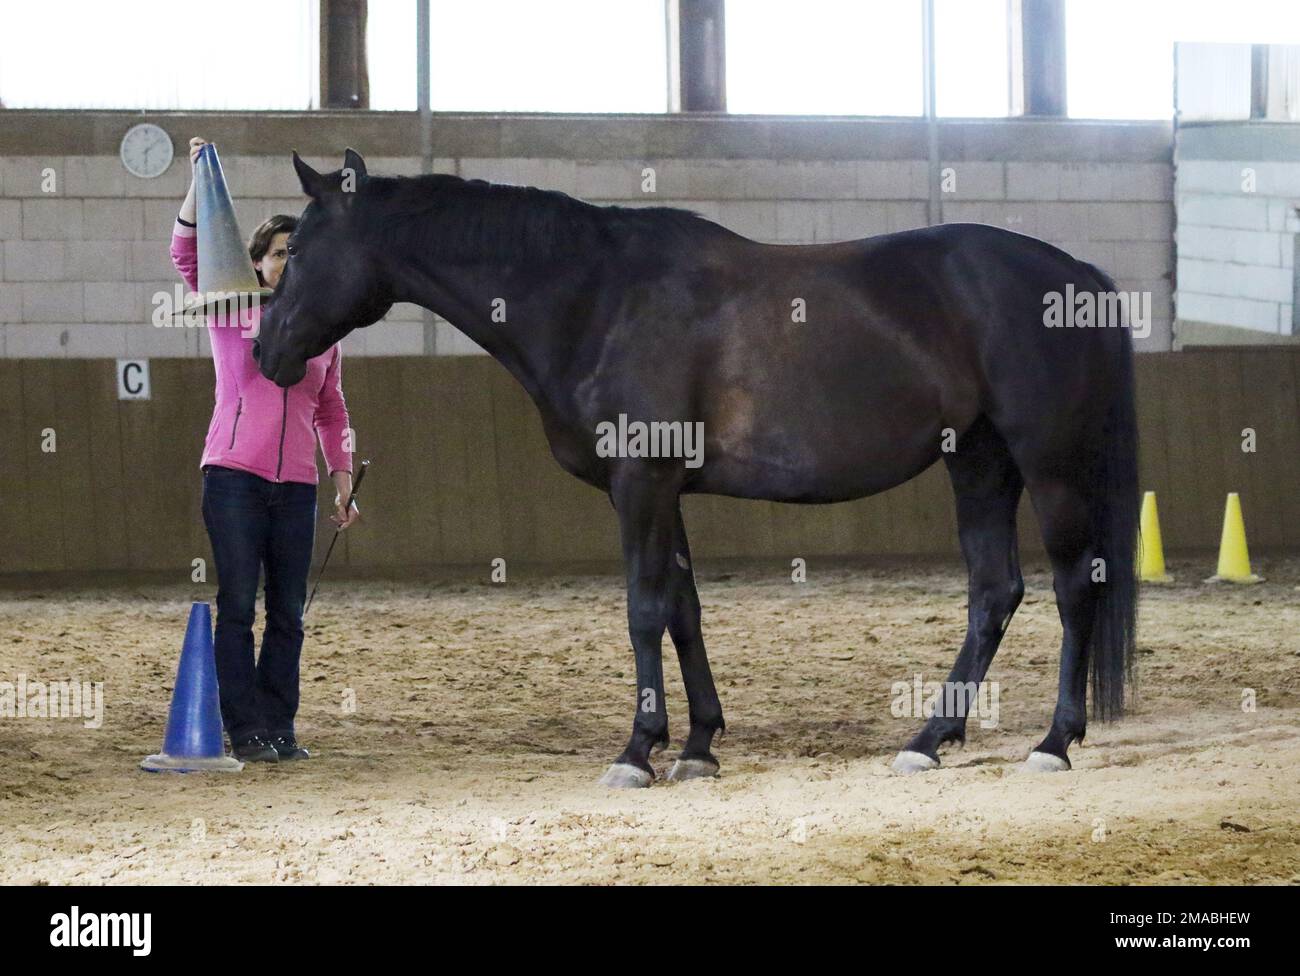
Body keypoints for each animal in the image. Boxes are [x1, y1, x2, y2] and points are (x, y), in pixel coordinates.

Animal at [255, 148, 1138, 788]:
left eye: (298, 252)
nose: (265, 353)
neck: (596, 299)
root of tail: (1079, 278)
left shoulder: (640, 484)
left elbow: (644, 611)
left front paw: (636, 751)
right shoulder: (661, 489)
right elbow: (684, 611)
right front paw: (699, 745)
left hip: (1049, 465)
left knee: (1071, 586)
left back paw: (1054, 740)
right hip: (979, 462)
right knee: (995, 591)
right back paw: (929, 737)